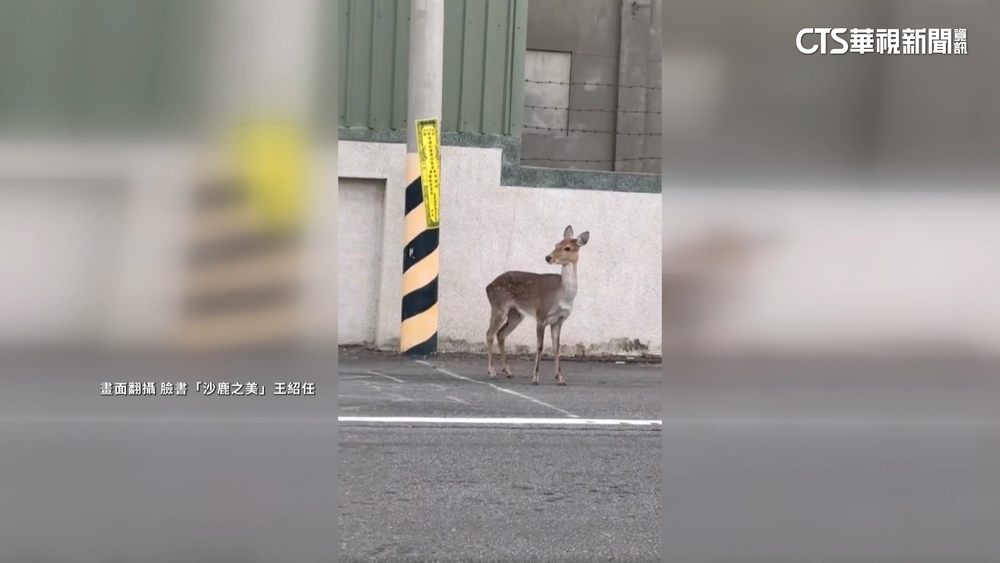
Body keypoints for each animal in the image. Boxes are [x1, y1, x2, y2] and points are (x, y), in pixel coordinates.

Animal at [485, 225, 589, 386]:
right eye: (556, 245)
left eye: (567, 248)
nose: (548, 257)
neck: (562, 295)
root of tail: (488, 286)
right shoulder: (542, 314)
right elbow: (540, 346)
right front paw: (535, 378)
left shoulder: (559, 320)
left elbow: (556, 347)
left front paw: (560, 378)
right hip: (499, 306)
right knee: (489, 334)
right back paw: (492, 372)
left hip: (516, 314)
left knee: (501, 334)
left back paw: (508, 372)